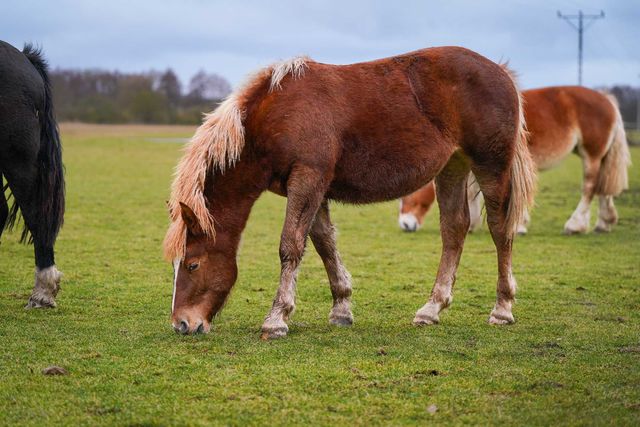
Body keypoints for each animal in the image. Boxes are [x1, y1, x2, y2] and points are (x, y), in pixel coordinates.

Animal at [164, 46, 536, 340]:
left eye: (193, 264)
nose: (182, 323)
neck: (276, 115)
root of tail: (500, 72)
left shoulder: (307, 178)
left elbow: (290, 246)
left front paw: (276, 319)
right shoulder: (312, 187)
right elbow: (324, 243)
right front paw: (341, 308)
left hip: (491, 167)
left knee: (500, 230)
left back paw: (502, 309)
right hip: (452, 167)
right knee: (454, 229)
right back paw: (431, 308)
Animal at [400, 85, 632, 236]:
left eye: (408, 196)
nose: (405, 224)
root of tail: (607, 100)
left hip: (591, 155)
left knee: (590, 188)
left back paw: (575, 225)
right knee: (604, 188)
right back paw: (604, 223)